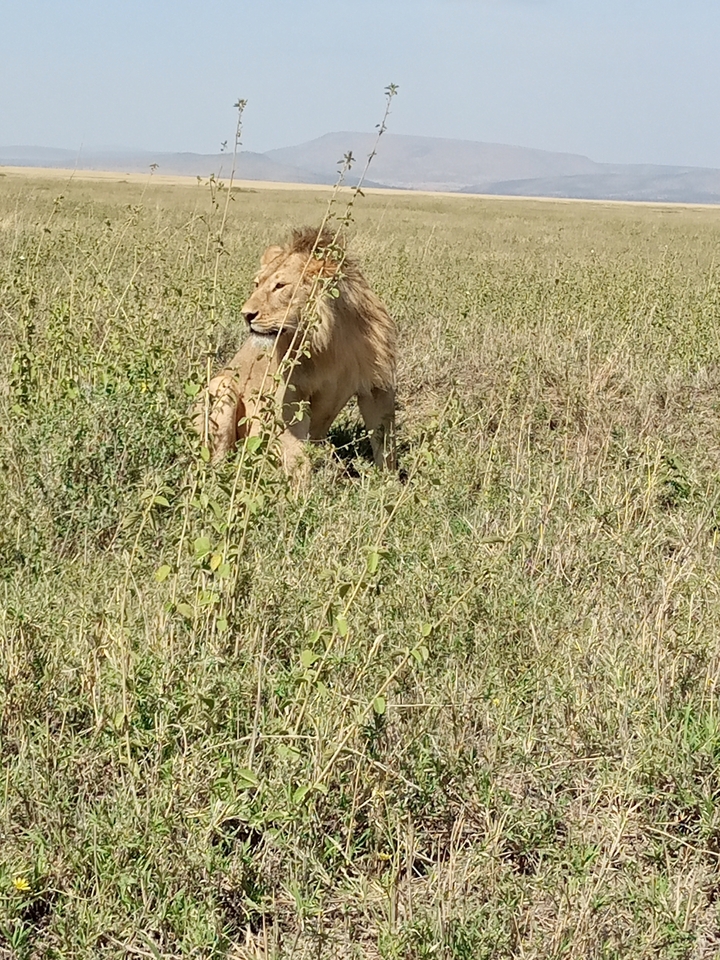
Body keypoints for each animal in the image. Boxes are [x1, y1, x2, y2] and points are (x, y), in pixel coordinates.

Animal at [194, 227, 397, 475]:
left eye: (280, 286)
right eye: (257, 284)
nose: (246, 315)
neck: (331, 341)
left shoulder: (378, 388)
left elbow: (385, 445)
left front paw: (386, 481)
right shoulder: (289, 395)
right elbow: (298, 456)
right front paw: (301, 485)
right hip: (220, 385)